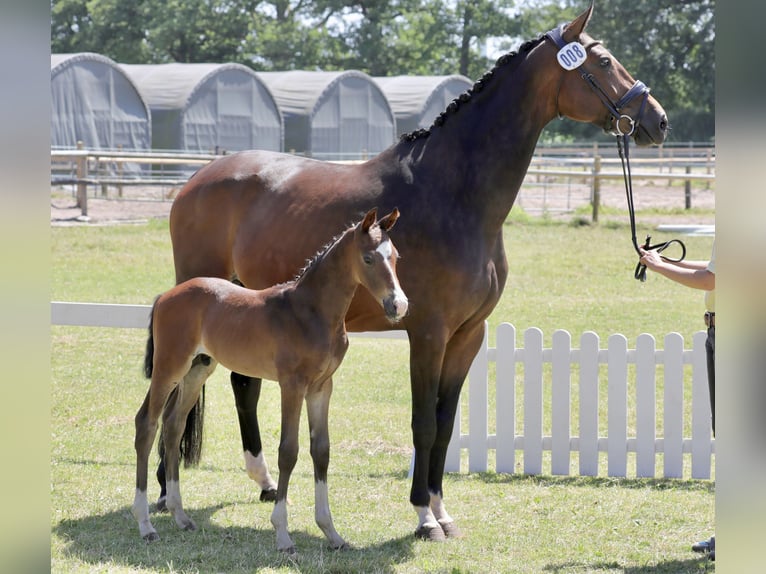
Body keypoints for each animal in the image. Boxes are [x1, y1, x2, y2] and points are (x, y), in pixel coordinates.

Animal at [132, 208, 407, 553]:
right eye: (368, 258)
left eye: (395, 256)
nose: (399, 305)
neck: (311, 312)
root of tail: (166, 296)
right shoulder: (292, 385)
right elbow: (288, 451)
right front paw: (283, 535)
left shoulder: (321, 387)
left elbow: (322, 451)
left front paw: (331, 533)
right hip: (169, 367)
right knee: (147, 423)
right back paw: (145, 525)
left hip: (197, 369)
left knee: (172, 425)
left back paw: (181, 516)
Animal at [160, 3, 669, 541]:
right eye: (605, 62)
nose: (658, 120)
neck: (454, 194)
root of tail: (194, 181)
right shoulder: (427, 332)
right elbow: (423, 421)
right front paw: (424, 516)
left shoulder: (467, 335)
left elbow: (445, 423)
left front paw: (442, 510)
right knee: (177, 393)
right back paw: (166, 495)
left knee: (238, 383)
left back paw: (260, 484)